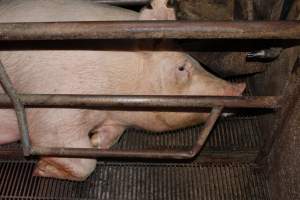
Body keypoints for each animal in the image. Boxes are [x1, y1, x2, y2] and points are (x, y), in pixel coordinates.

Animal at [0, 0, 245, 181]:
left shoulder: (114, 119)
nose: (239, 88)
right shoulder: (55, 106)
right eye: (182, 67)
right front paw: (41, 169)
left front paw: (95, 141)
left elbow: (110, 138)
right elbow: (84, 162)